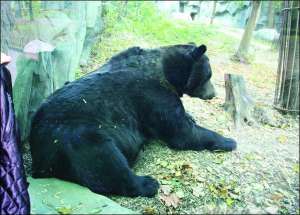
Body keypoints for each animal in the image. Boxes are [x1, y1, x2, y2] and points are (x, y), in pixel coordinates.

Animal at [30, 43, 237, 197]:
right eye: (209, 75)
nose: (213, 94)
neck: (166, 71)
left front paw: (192, 117)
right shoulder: (152, 95)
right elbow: (181, 133)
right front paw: (229, 141)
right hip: (76, 134)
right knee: (105, 160)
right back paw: (148, 183)